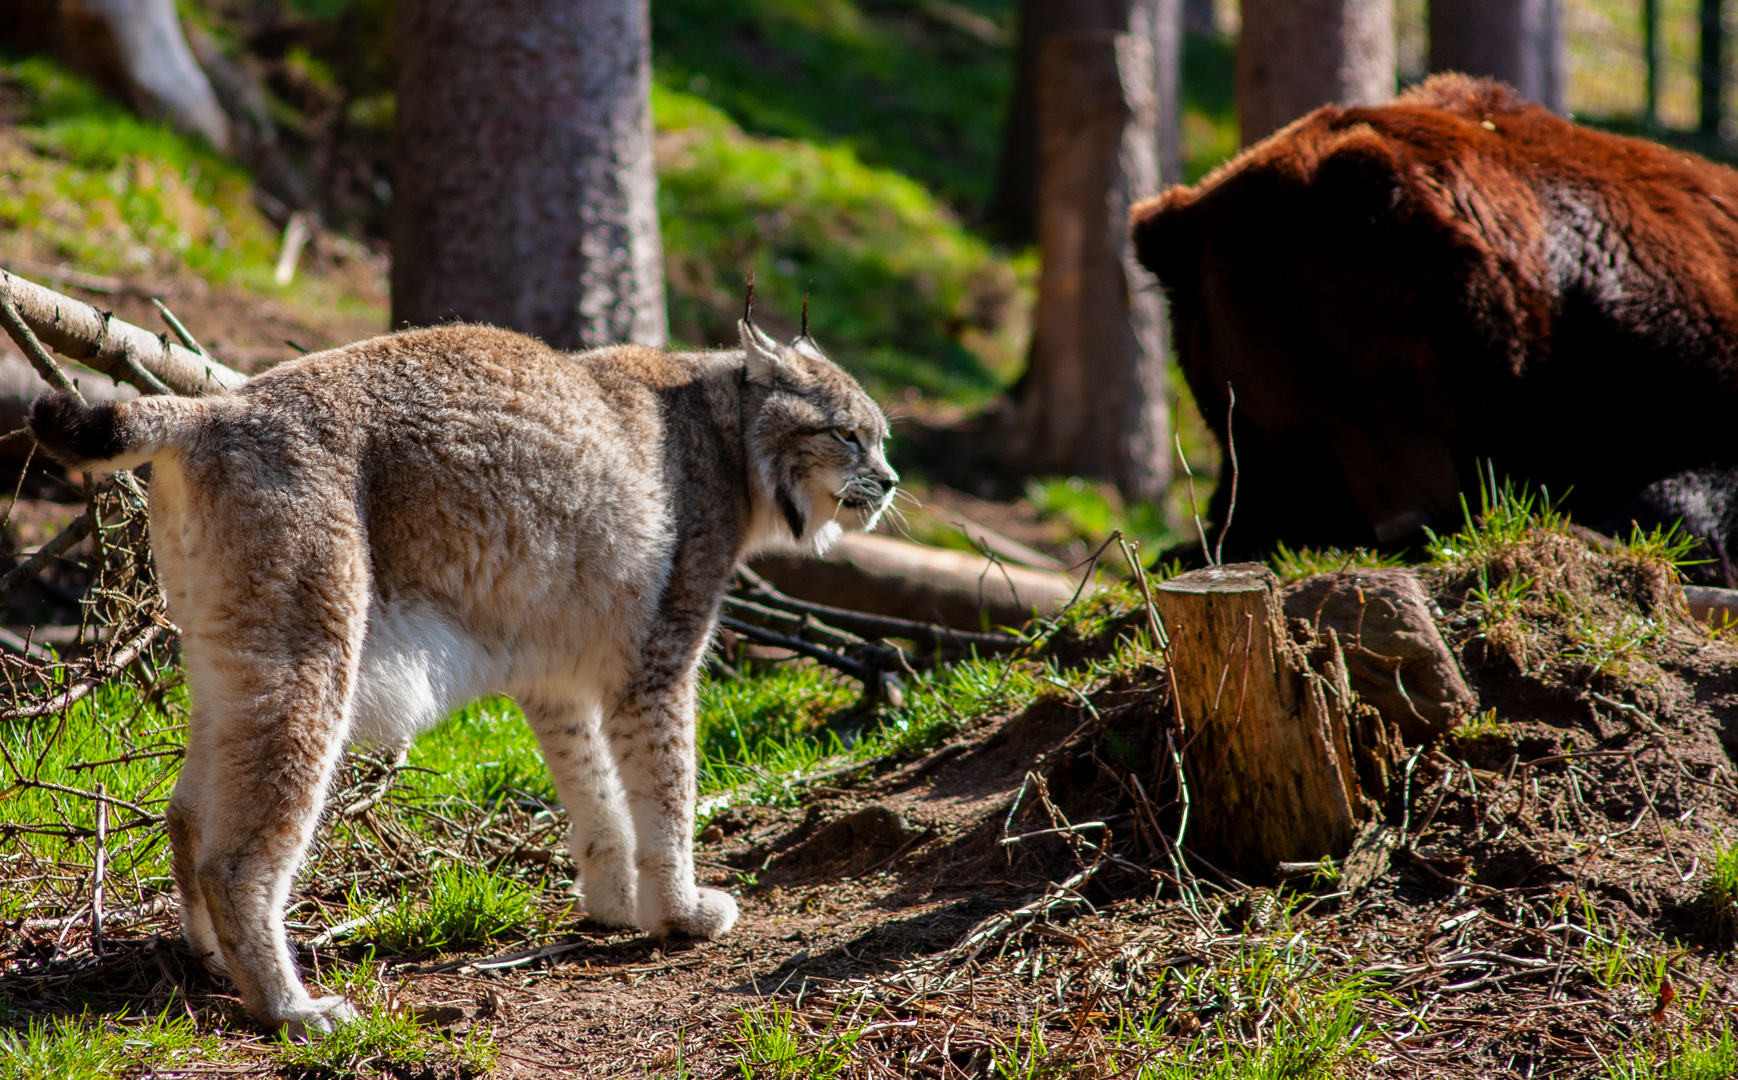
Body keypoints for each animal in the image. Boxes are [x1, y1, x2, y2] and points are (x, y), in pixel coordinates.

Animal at [1133, 70, 1738, 566]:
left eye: (1378, 383)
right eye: (1302, 430)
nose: (1405, 526)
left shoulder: (1641, 314)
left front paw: (1599, 528)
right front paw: (1191, 548)